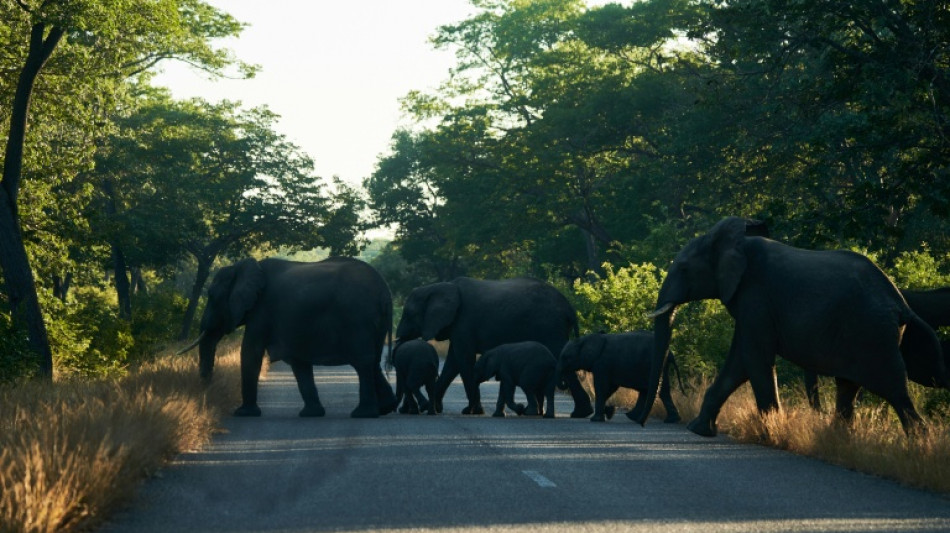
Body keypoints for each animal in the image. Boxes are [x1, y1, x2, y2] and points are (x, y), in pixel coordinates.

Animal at [180, 257, 398, 418]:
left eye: (211, 296)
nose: (205, 391)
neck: (242, 267)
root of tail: (385, 291)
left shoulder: (262, 310)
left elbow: (250, 352)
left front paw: (243, 413)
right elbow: (299, 362)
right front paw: (311, 414)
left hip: (357, 319)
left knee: (362, 363)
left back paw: (363, 414)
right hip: (373, 324)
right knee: (373, 362)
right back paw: (384, 409)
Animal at [395, 277, 594, 418]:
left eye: (408, 314)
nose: (402, 409)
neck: (439, 286)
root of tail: (569, 308)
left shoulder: (464, 322)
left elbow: (463, 360)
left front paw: (472, 411)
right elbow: (453, 363)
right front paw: (436, 408)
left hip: (549, 327)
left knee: (562, 358)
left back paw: (580, 413)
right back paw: (580, 413)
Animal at [638, 217, 947, 436]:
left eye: (684, 269)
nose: (638, 420)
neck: (735, 242)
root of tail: (900, 303)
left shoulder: (755, 295)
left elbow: (754, 358)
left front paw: (771, 433)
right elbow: (740, 361)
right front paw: (699, 431)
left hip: (871, 334)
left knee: (894, 391)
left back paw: (918, 445)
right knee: (848, 387)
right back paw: (837, 440)